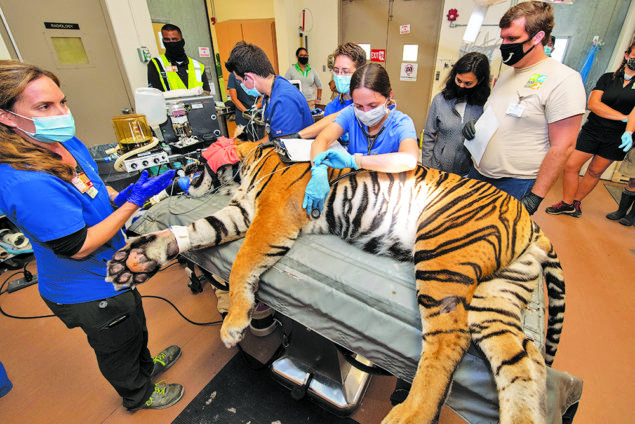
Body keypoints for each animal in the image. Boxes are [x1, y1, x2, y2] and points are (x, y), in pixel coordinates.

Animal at [108, 140, 568, 424]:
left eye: (192, 161)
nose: (175, 178)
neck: (246, 170)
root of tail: (530, 222)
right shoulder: (242, 214)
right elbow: (200, 228)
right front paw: (143, 255)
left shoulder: (269, 219)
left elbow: (240, 265)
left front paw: (234, 324)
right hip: (497, 298)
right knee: (524, 362)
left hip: (443, 255)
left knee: (449, 339)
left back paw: (409, 414)